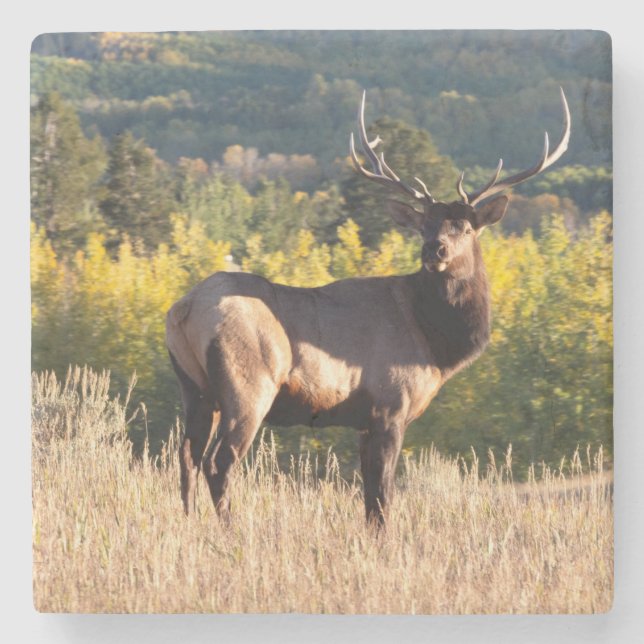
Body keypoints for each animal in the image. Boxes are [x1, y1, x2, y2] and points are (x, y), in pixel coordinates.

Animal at [166, 89, 571, 525]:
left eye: (464, 227)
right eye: (423, 226)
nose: (435, 249)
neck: (436, 347)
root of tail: (183, 309)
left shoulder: (363, 421)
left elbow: (368, 499)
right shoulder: (390, 405)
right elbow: (382, 498)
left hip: (194, 389)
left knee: (186, 457)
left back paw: (189, 523)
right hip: (248, 385)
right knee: (219, 462)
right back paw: (230, 528)